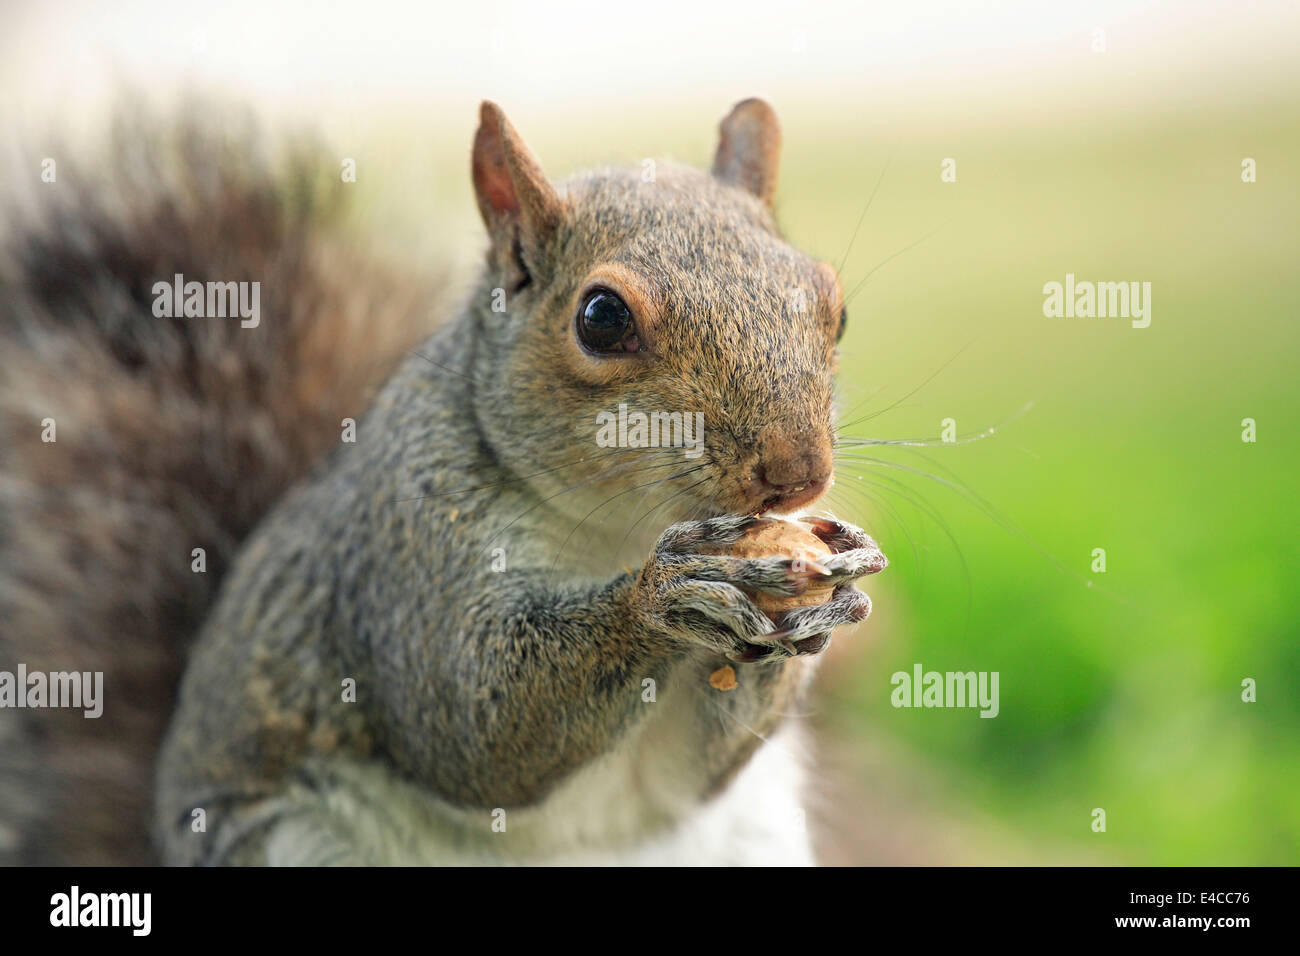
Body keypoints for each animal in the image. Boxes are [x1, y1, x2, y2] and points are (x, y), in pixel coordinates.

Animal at [0, 97, 883, 868]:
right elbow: (470, 718)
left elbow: (691, 773)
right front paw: (666, 595)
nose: (799, 472)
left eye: (835, 310)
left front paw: (827, 596)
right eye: (601, 318)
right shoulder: (407, 546)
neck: (621, 531)